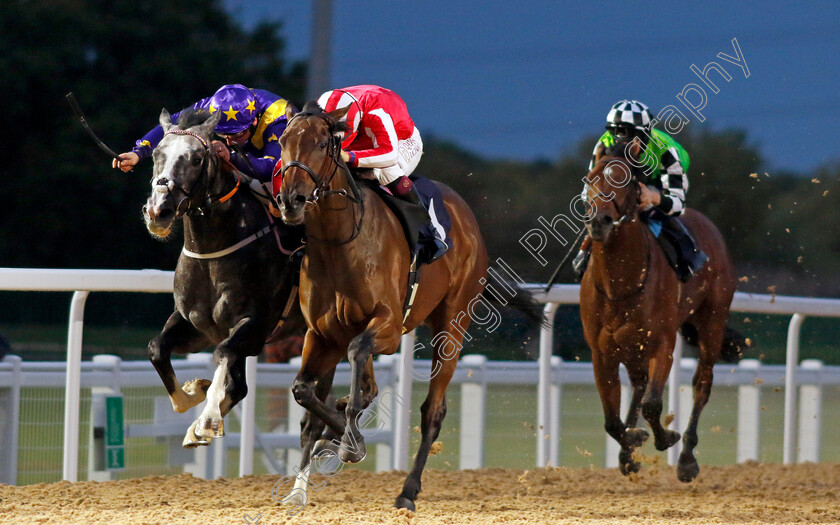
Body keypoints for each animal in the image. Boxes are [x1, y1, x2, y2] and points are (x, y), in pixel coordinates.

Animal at [143, 106, 304, 446]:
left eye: (196, 159)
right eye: (157, 154)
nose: (158, 211)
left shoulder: (254, 325)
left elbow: (224, 353)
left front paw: (207, 418)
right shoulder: (196, 324)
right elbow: (157, 348)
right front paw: (195, 394)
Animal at [276, 101, 536, 508]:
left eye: (320, 144)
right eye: (283, 142)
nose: (290, 200)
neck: (340, 244)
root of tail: (468, 220)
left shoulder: (386, 326)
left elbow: (356, 371)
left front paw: (350, 442)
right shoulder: (321, 334)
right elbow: (306, 393)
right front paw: (301, 488)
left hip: (452, 326)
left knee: (432, 411)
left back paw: (407, 490)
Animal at [580, 140, 740, 484]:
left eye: (626, 181)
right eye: (590, 180)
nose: (599, 222)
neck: (620, 285)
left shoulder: (662, 343)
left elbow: (653, 404)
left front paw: (666, 438)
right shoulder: (602, 352)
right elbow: (611, 420)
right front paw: (632, 440)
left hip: (712, 321)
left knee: (701, 385)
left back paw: (687, 459)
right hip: (630, 346)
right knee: (639, 385)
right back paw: (627, 454)